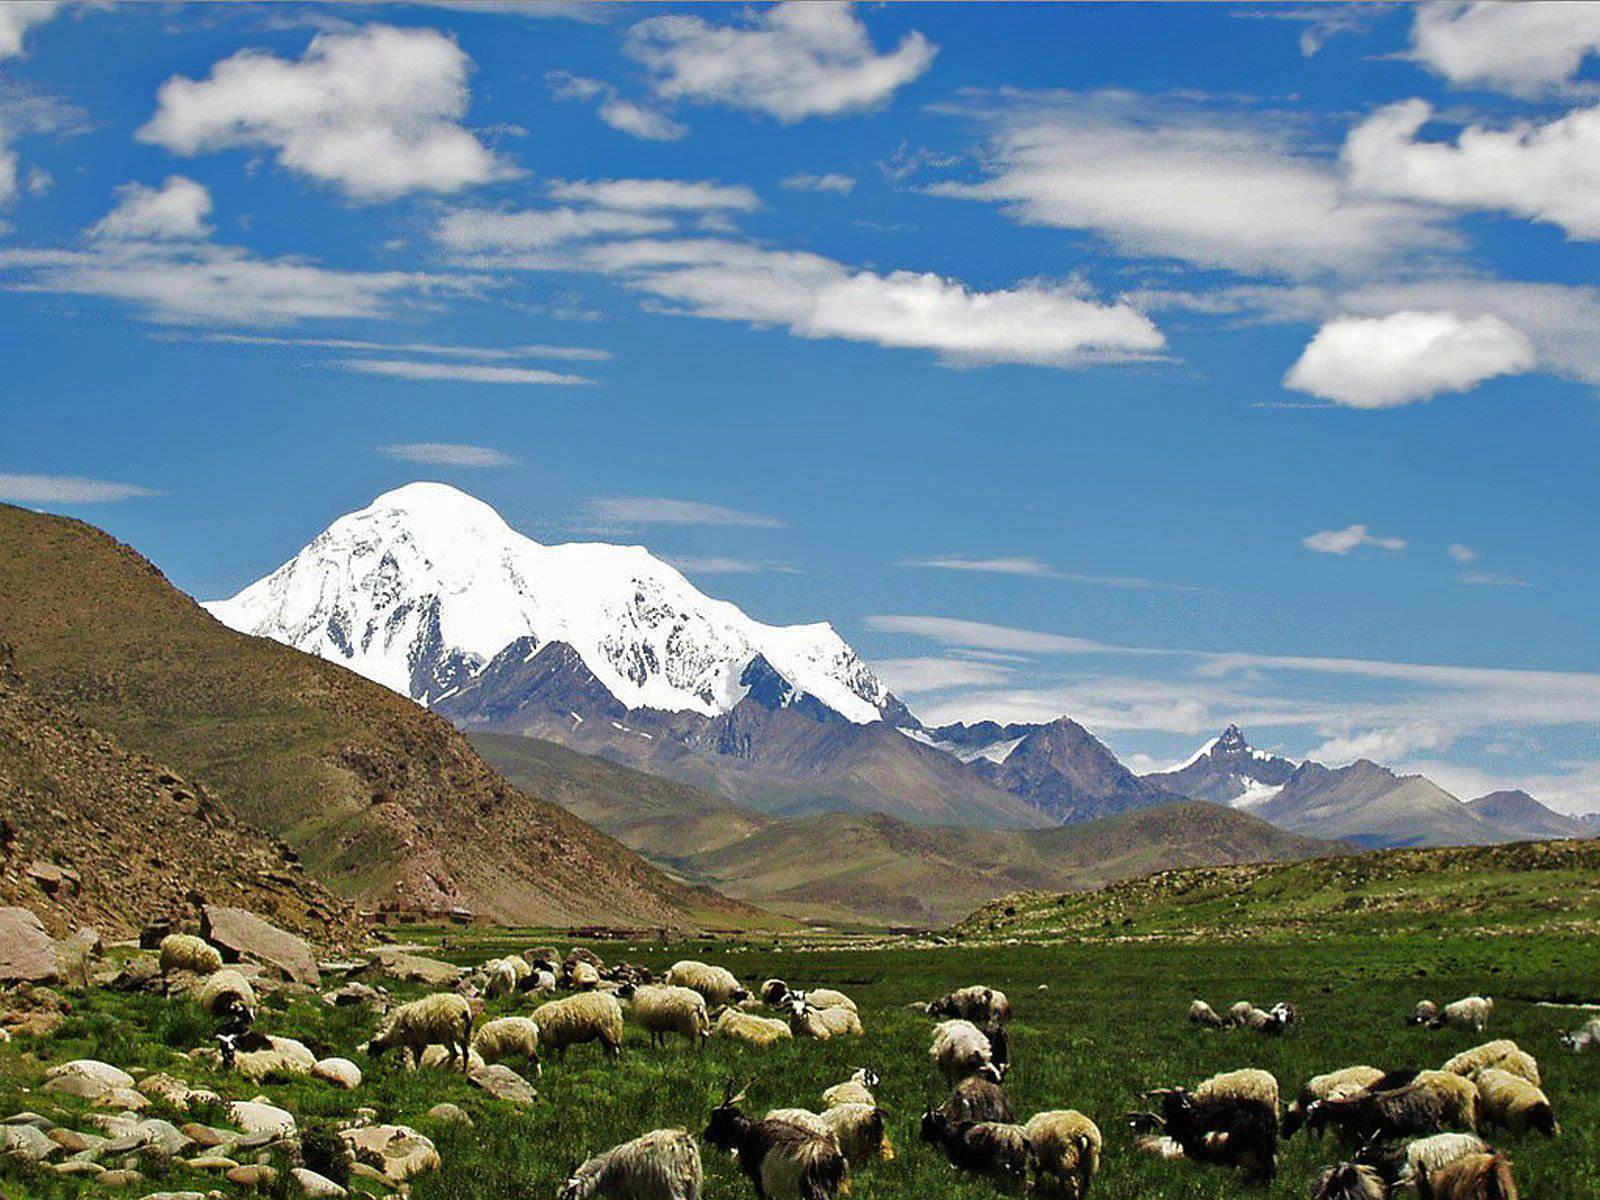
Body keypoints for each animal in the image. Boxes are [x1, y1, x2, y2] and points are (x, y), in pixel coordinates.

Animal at [704, 1081, 851, 1200]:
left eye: (717, 1118)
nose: (706, 1135)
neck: (746, 1132)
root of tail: (833, 1158)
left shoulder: (758, 1178)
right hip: (829, 1187)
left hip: (812, 1186)